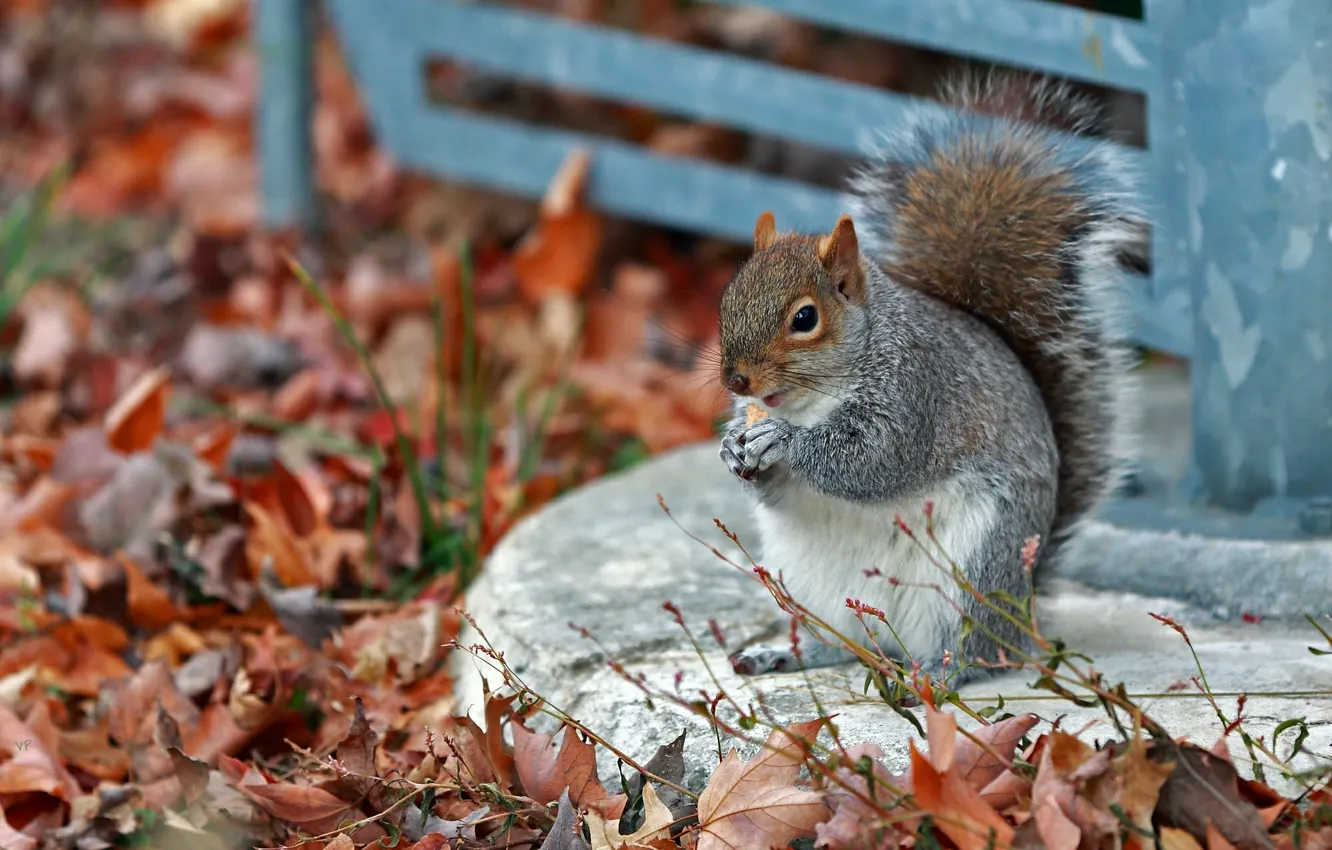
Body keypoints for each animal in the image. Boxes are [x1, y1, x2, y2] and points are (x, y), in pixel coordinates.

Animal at [719, 69, 1145, 687]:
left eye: (805, 318)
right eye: (727, 297)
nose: (736, 382)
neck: (813, 399)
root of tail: (1024, 609)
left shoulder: (917, 391)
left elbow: (870, 461)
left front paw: (784, 442)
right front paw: (732, 447)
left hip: (973, 570)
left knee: (971, 649)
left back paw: (939, 677)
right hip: (810, 585)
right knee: (845, 643)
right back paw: (787, 653)